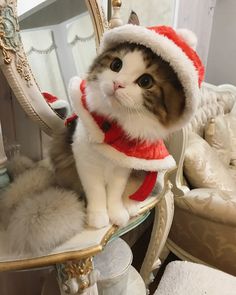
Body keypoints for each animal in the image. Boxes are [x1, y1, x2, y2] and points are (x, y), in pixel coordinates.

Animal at [51, 41, 184, 229]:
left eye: (145, 81)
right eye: (116, 65)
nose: (117, 84)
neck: (114, 127)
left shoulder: (123, 169)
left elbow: (115, 193)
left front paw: (117, 213)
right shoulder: (86, 165)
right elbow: (97, 192)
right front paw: (98, 217)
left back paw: (129, 206)